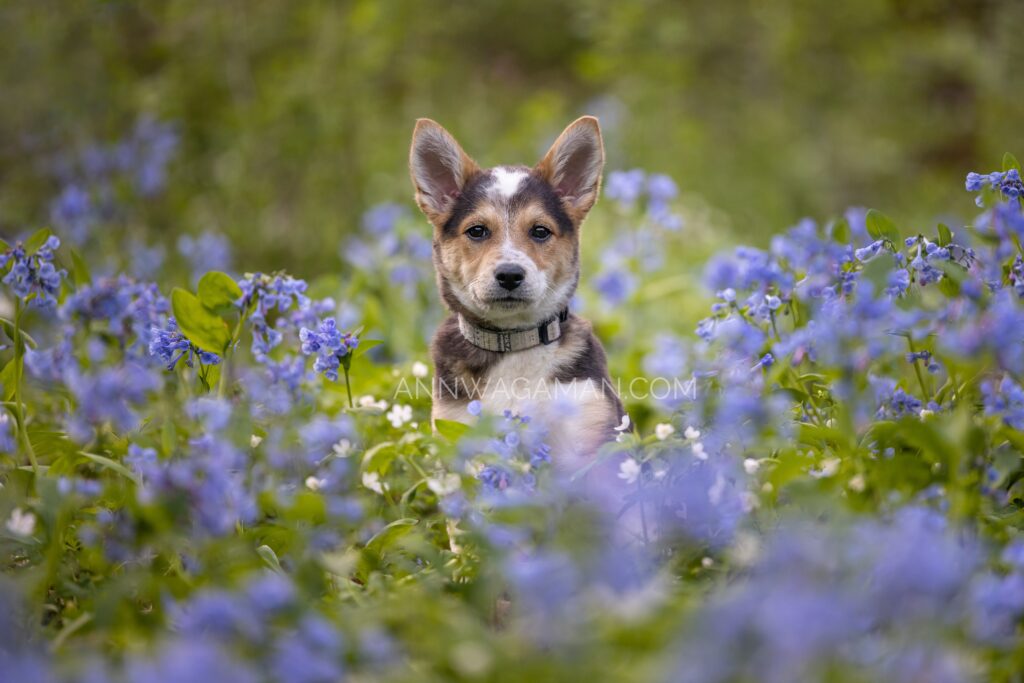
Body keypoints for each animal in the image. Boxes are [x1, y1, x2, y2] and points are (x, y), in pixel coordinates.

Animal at [407, 118, 622, 471]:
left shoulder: (588, 425)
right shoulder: (457, 432)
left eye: (540, 231)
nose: (509, 274)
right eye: (477, 231)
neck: (513, 342)